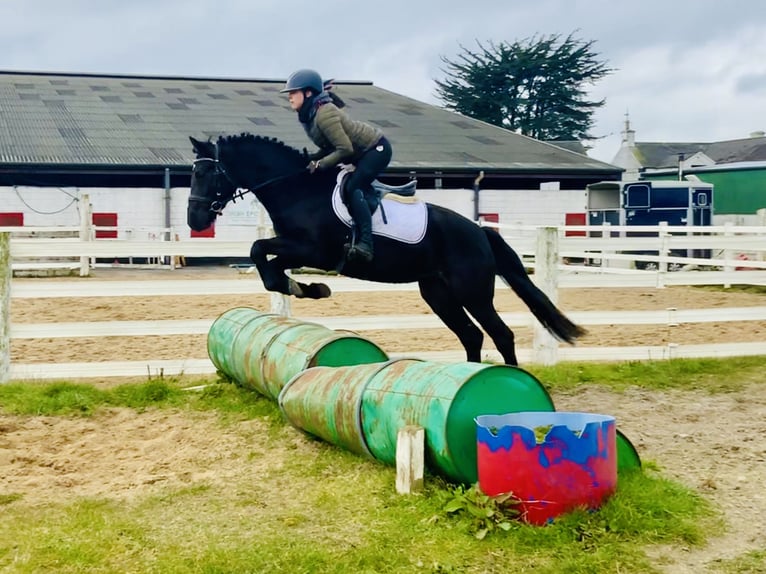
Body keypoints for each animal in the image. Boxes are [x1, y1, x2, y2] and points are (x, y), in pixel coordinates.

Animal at [189, 134, 584, 366]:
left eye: (205, 174)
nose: (195, 220)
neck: (296, 190)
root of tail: (480, 231)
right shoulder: (300, 251)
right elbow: (266, 262)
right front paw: (307, 288)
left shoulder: (313, 251)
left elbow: (260, 251)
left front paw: (305, 287)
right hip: (437, 293)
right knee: (471, 335)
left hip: (472, 291)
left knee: (501, 334)